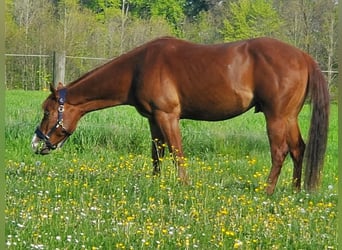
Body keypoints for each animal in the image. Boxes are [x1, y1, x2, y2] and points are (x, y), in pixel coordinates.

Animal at [31, 37, 328, 194]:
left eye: (47, 111)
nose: (36, 143)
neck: (138, 68)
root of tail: (303, 56)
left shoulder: (168, 116)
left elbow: (176, 152)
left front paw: (183, 186)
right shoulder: (153, 119)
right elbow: (157, 153)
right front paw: (155, 183)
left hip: (276, 117)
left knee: (280, 152)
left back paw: (267, 191)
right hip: (289, 117)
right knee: (298, 149)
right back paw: (295, 190)